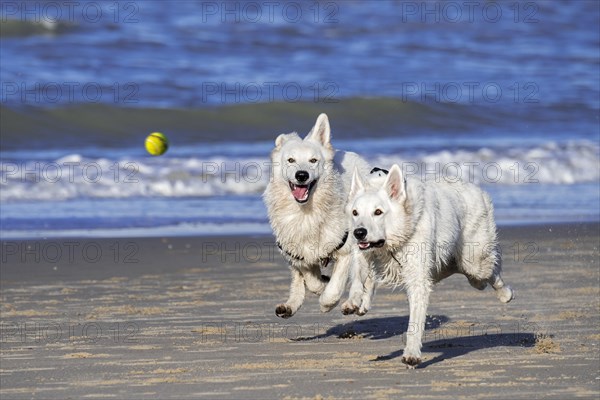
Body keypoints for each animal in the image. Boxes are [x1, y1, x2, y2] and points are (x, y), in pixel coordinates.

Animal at [264, 113, 372, 318]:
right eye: (291, 160)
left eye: (313, 160)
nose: (301, 175)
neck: (307, 212)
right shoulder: (296, 252)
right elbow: (310, 279)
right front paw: (320, 284)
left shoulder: (346, 251)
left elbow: (335, 287)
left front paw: (327, 303)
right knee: (298, 279)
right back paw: (289, 306)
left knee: (360, 280)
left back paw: (353, 304)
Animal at [350, 164, 512, 368]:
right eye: (355, 213)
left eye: (378, 212)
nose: (358, 232)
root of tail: (476, 188)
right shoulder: (364, 253)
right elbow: (358, 277)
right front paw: (354, 301)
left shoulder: (417, 278)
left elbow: (415, 321)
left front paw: (411, 354)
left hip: (474, 261)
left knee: (489, 272)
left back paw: (505, 293)